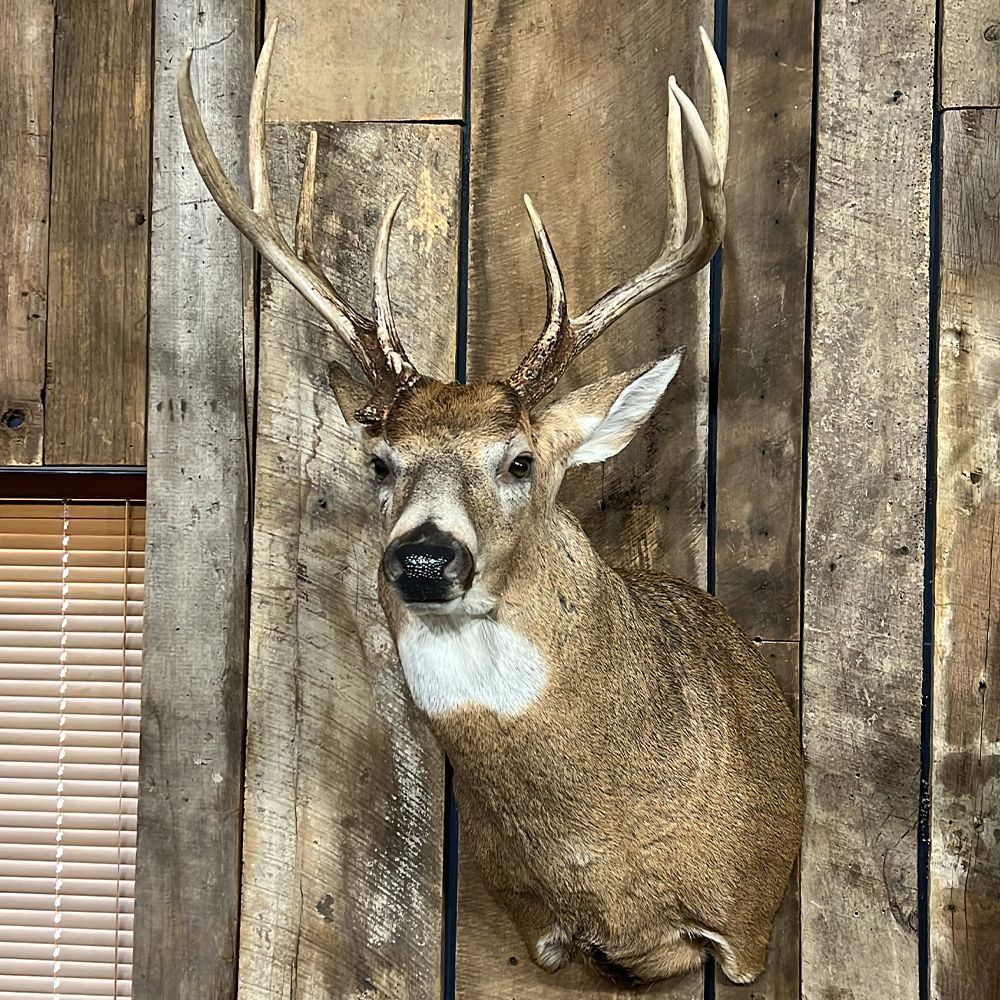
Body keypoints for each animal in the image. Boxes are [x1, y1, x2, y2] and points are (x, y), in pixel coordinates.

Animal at [179, 23, 804, 987]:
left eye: (519, 461)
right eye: (379, 462)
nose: (425, 556)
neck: (609, 868)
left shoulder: (747, 921)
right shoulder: (531, 925)